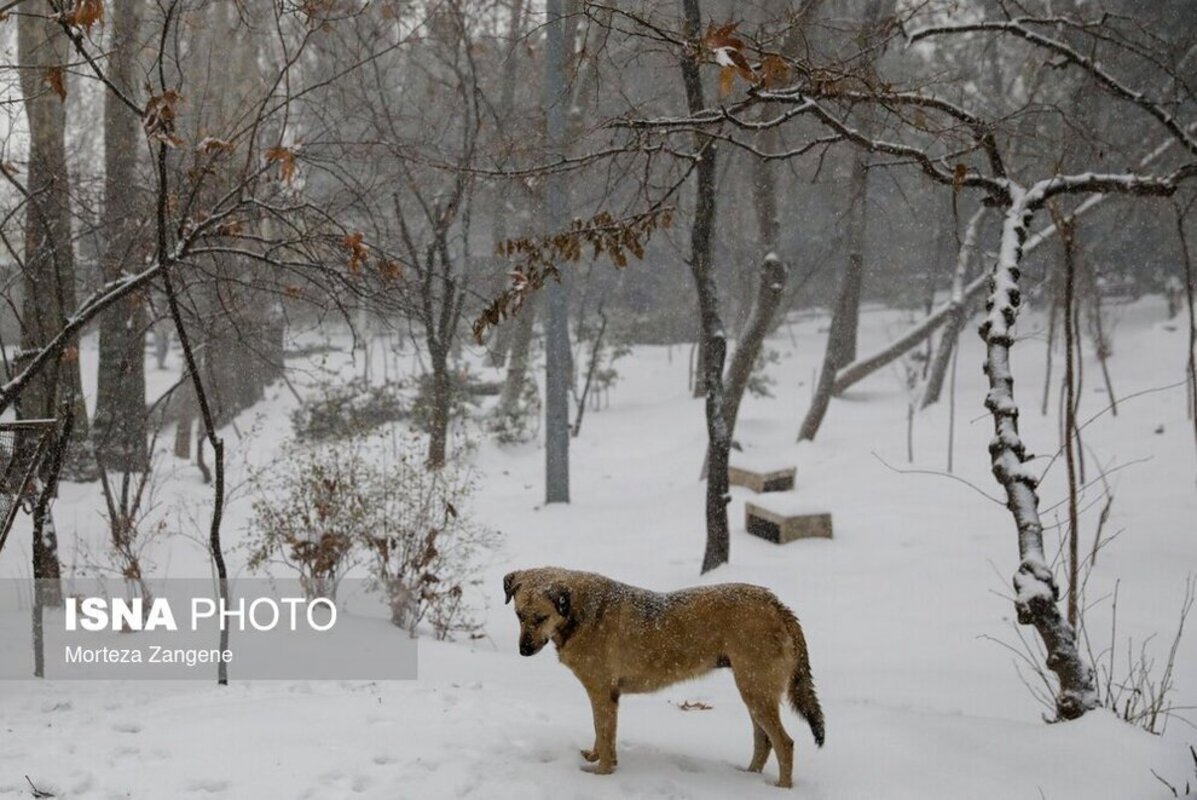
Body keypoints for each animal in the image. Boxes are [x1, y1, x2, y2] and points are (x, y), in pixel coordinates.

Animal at [502, 567, 823, 785]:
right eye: (519, 615)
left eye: (541, 617)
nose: (523, 651)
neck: (579, 612)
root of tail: (776, 604)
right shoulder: (606, 696)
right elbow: (602, 734)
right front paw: (597, 758)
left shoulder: (602, 692)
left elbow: (604, 734)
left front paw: (601, 773)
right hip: (753, 692)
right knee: (764, 742)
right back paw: (748, 777)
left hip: (755, 691)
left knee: (785, 744)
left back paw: (781, 788)